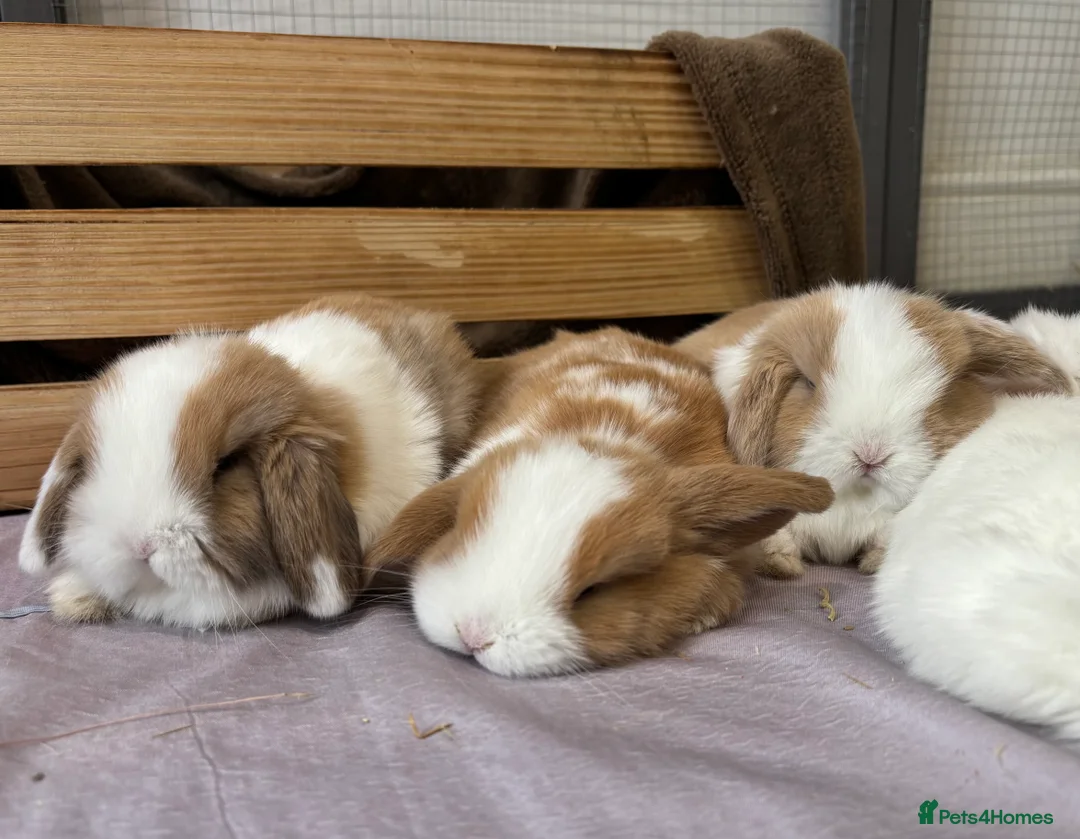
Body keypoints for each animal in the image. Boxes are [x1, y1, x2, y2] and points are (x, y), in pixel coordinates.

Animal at [681, 282, 1073, 578]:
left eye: (945, 392)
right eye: (808, 382)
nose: (871, 453)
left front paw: (872, 563)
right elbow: (777, 539)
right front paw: (782, 566)